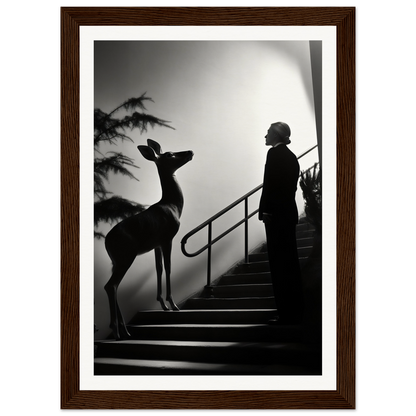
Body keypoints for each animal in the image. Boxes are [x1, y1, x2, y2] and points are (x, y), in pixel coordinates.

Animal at [104, 138, 195, 340]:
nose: (190, 152)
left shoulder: (155, 245)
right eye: (169, 154)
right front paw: (173, 305)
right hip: (126, 255)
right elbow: (168, 267)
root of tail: (106, 241)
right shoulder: (167, 238)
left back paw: (126, 330)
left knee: (114, 286)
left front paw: (162, 304)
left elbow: (158, 269)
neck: (173, 205)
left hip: (116, 261)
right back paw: (117, 332)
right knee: (110, 285)